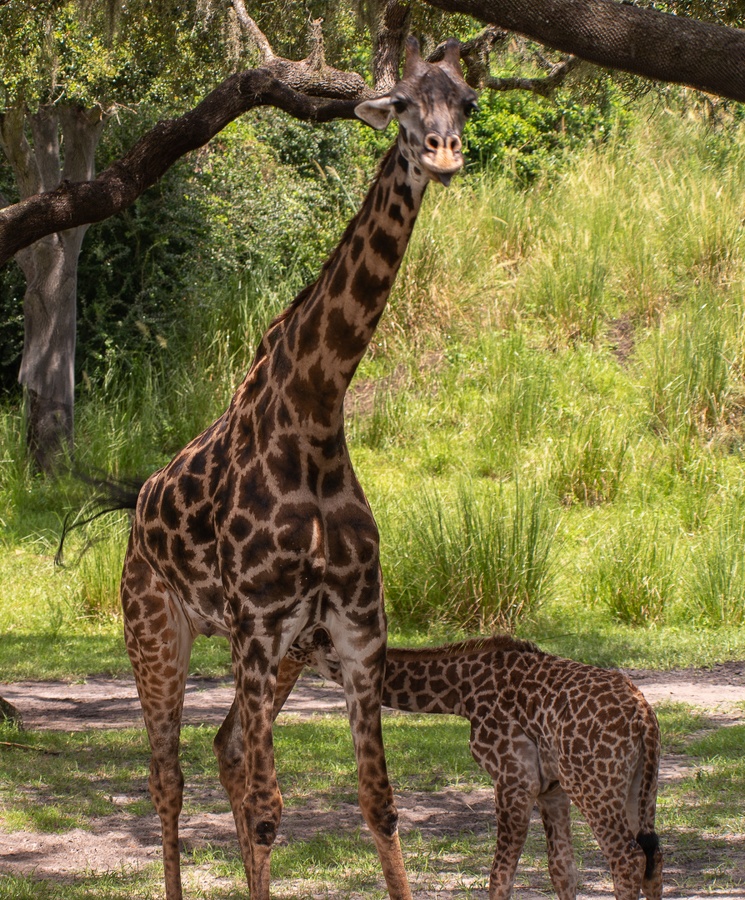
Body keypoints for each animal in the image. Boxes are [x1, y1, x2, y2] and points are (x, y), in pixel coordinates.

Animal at [119, 35, 474, 900]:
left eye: (467, 102)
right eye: (404, 103)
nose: (443, 153)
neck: (316, 407)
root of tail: (135, 507)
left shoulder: (355, 629)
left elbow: (379, 804)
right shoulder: (253, 626)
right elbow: (269, 808)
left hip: (289, 652)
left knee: (223, 750)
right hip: (157, 628)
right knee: (167, 776)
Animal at [276, 632, 660, 900]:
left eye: (295, 642)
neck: (462, 692)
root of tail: (644, 717)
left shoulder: (513, 779)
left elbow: (499, 877)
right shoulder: (551, 790)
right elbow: (562, 870)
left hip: (595, 787)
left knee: (627, 861)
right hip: (638, 788)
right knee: (652, 858)